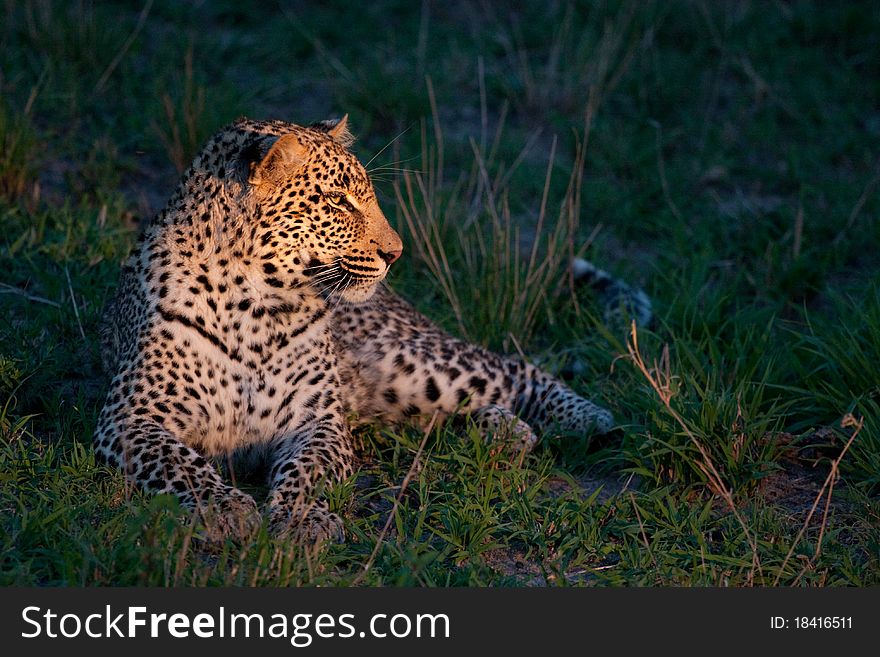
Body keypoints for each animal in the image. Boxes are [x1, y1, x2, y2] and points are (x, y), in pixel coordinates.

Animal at [96, 114, 648, 544]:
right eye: (339, 202)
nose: (395, 253)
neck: (252, 305)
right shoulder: (131, 417)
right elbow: (181, 464)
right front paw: (225, 509)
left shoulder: (316, 422)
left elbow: (307, 473)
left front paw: (302, 521)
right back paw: (501, 432)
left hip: (412, 362)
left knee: (515, 367)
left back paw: (587, 420)